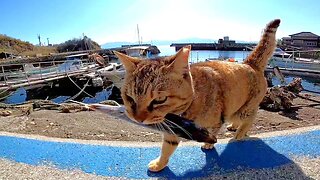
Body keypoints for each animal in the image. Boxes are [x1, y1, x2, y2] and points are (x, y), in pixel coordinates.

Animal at [114, 19, 280, 172]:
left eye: (160, 99)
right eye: (129, 98)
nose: (138, 119)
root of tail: (249, 63)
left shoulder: (215, 121)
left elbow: (213, 132)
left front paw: (209, 143)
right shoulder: (173, 129)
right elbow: (167, 148)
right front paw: (160, 164)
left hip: (246, 109)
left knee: (250, 118)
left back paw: (239, 133)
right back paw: (233, 126)